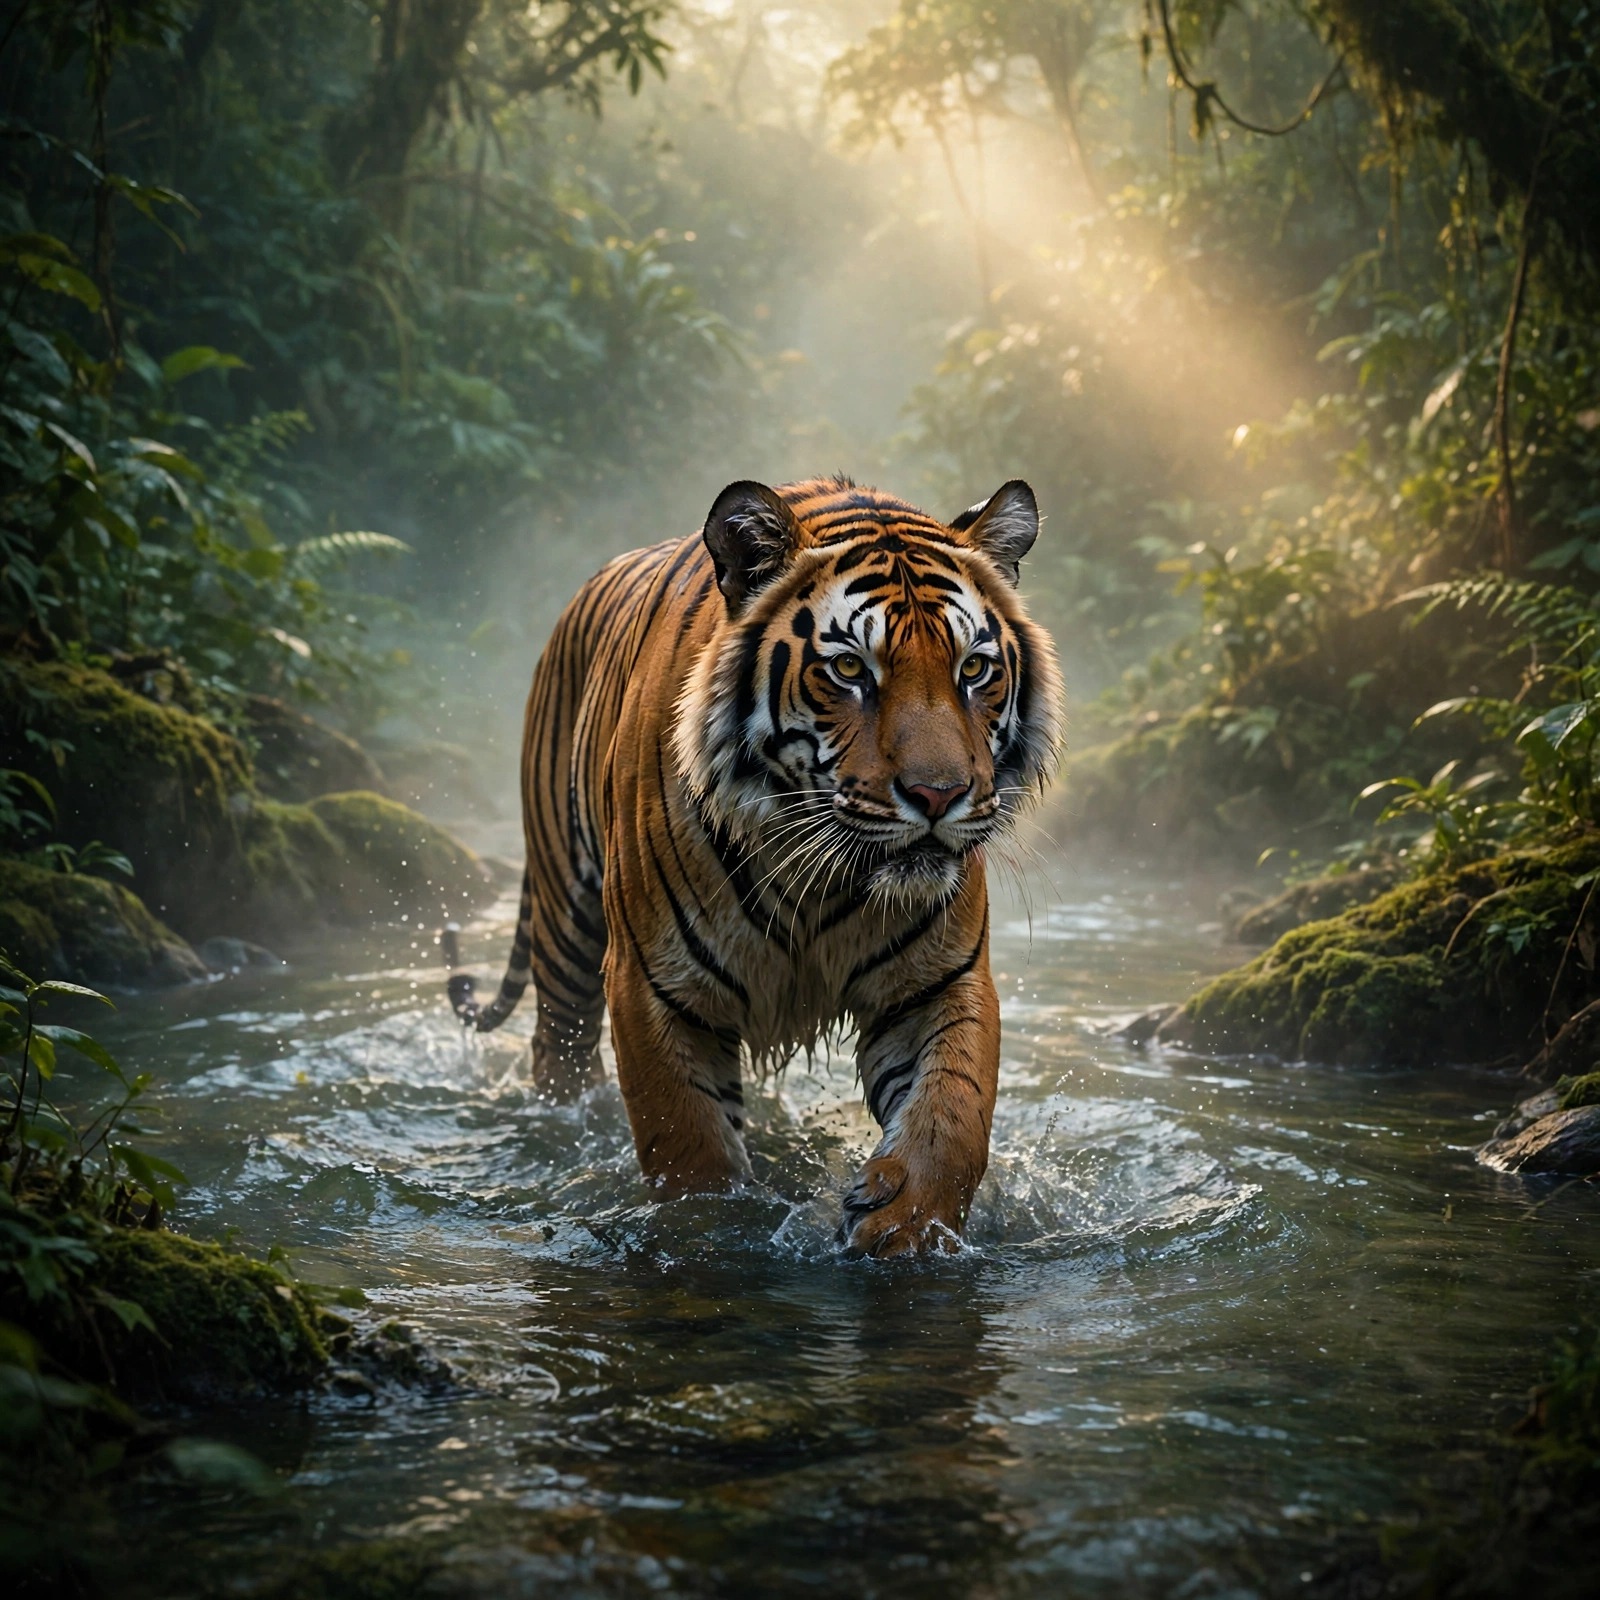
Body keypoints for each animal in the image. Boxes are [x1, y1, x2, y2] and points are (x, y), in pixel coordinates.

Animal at [445, 475, 1063, 1256]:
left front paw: (905, 1224)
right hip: (565, 927)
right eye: (850, 669)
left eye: (974, 669)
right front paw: (708, 1233)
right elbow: (689, 1150)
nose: (938, 795)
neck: (817, 869)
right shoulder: (652, 985)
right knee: (558, 1053)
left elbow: (953, 1115)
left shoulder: (939, 980)